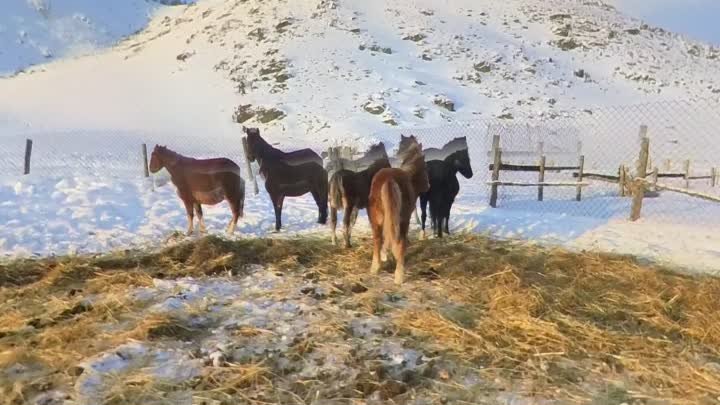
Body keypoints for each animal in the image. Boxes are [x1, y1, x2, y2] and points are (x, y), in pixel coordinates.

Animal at [372, 137, 428, 282]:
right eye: (425, 166)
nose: (428, 185)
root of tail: (389, 180)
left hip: (376, 221)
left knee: (377, 240)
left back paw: (376, 268)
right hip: (401, 221)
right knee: (400, 243)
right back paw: (399, 276)